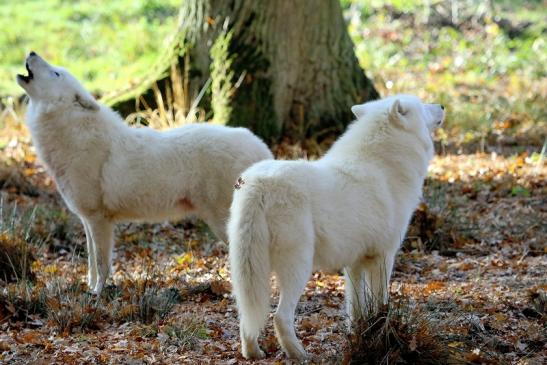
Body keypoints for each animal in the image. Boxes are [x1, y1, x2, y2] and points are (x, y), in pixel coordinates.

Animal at [16, 52, 272, 292]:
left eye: (56, 73)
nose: (31, 52)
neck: (74, 133)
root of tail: (262, 148)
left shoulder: (100, 220)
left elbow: (102, 264)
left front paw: (97, 294)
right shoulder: (87, 220)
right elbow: (90, 263)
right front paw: (89, 288)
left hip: (224, 223)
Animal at [227, 94, 446, 358]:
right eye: (422, 104)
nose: (442, 105)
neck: (384, 165)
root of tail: (257, 184)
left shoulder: (355, 264)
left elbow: (356, 309)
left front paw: (360, 338)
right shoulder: (384, 257)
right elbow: (381, 304)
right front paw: (381, 334)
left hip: (249, 272)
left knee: (246, 316)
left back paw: (253, 353)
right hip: (298, 267)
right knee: (279, 316)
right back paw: (300, 355)